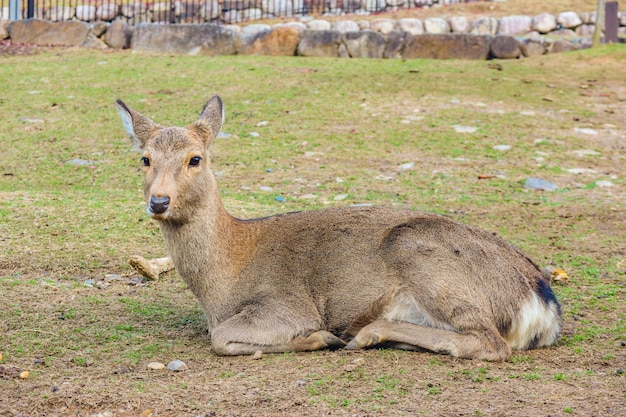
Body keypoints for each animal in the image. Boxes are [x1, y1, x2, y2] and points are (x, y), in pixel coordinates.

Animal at [116, 96, 560, 360]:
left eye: (195, 158)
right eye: (144, 159)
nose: (159, 201)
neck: (222, 283)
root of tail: (543, 305)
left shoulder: (286, 304)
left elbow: (221, 338)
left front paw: (317, 338)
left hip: (419, 251)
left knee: (488, 341)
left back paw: (365, 333)